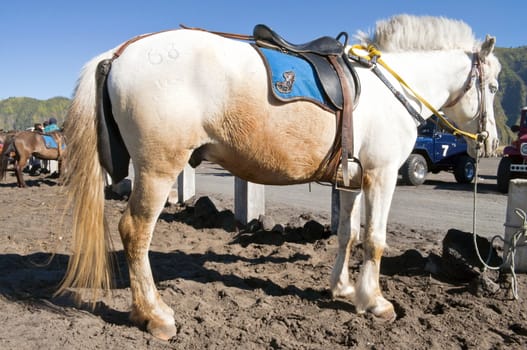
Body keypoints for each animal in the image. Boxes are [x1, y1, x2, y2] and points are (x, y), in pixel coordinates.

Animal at [59, 14, 502, 340]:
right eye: (495, 87)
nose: (491, 143)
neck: (388, 88)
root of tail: (120, 52)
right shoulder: (382, 175)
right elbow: (374, 241)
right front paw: (375, 301)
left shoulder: (352, 181)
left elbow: (348, 235)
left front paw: (343, 288)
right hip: (158, 169)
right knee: (135, 231)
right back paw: (154, 314)